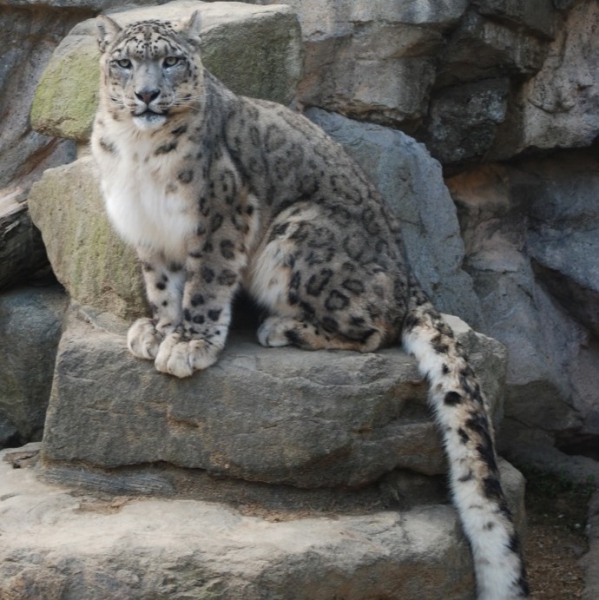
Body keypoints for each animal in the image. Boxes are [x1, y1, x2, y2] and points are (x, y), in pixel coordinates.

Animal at [90, 11, 528, 596]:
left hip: (297, 235)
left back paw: (280, 328)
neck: (137, 154)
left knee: (375, 327)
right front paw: (159, 329)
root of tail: (411, 273)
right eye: (123, 61)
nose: (147, 94)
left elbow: (206, 285)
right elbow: (164, 287)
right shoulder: (150, 235)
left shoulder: (222, 215)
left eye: (171, 59)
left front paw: (189, 344)